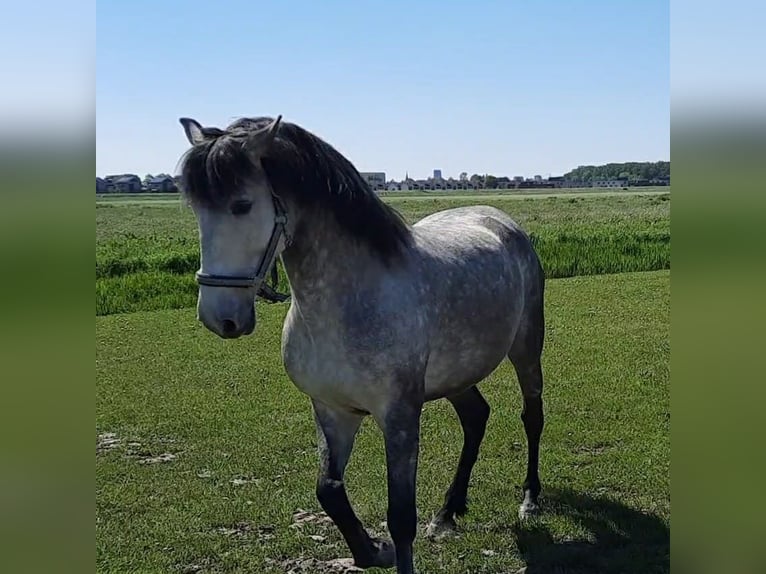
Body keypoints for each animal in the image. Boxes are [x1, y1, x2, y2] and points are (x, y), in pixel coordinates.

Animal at [177, 115, 548, 572]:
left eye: (242, 204)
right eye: (195, 208)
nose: (220, 317)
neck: (346, 304)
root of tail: (500, 219)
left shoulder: (400, 416)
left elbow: (401, 517)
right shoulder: (333, 410)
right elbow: (329, 490)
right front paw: (372, 550)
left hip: (526, 350)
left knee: (531, 416)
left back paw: (529, 499)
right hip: (457, 376)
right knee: (476, 417)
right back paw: (448, 511)